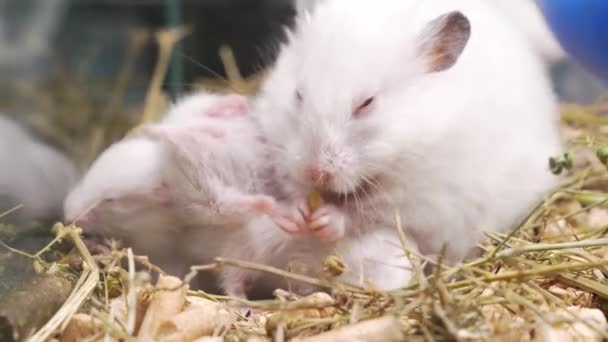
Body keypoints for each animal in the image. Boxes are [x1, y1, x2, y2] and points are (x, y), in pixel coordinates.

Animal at [232, 0, 560, 292]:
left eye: (367, 103)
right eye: (298, 94)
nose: (314, 172)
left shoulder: (420, 200)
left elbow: (365, 213)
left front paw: (326, 220)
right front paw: (301, 213)